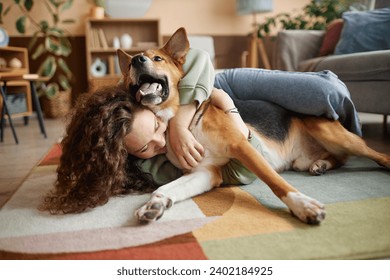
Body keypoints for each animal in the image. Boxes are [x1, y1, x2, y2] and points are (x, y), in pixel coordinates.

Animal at [116, 27, 390, 225]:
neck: (180, 122)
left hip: (333, 134)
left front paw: (303, 205)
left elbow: (276, 183)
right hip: (306, 158)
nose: (137, 60)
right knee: (338, 159)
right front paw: (155, 204)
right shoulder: (204, 172)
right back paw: (321, 164)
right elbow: (166, 188)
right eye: (129, 66)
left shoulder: (242, 146)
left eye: (157, 58)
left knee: (374, 154)